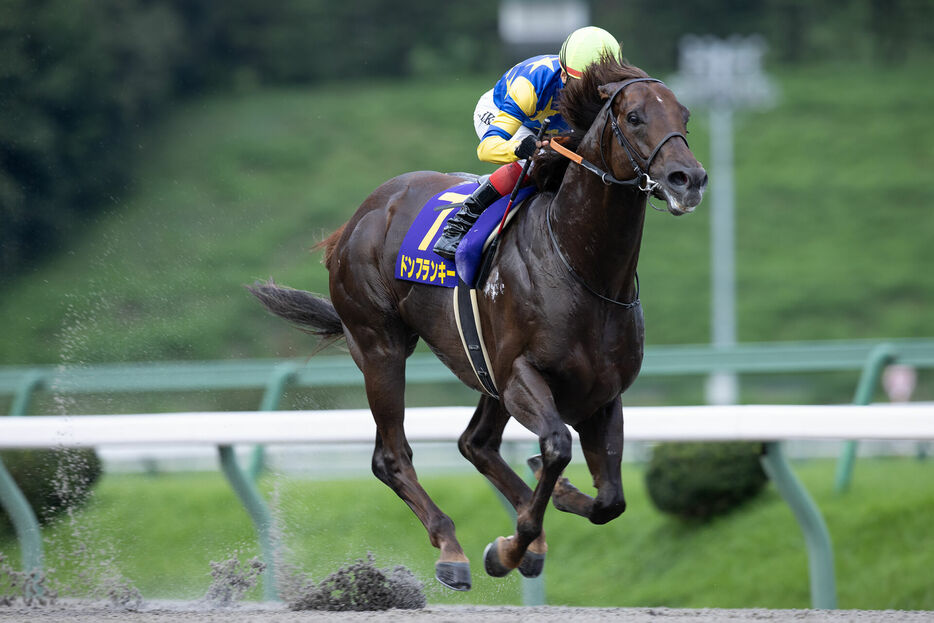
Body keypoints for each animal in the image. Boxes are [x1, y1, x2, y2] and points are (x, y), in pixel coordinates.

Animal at [250, 57, 708, 588]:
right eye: (634, 117)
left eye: (685, 116)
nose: (688, 178)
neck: (582, 267)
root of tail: (359, 217)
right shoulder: (522, 376)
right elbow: (557, 446)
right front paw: (511, 544)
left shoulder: (603, 393)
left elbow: (610, 500)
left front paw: (552, 503)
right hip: (381, 346)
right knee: (392, 456)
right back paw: (451, 548)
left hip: (484, 370)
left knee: (476, 444)